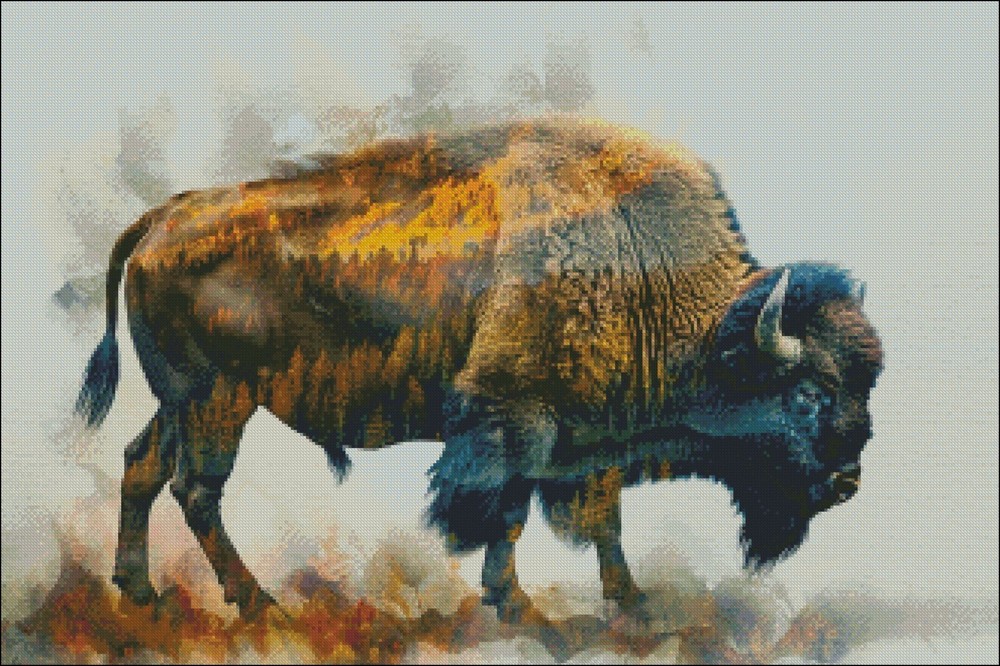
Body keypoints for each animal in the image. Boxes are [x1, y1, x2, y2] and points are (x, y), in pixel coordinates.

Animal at [76, 119, 883, 620]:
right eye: (808, 394)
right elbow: (508, 512)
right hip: (219, 402)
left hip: (183, 404)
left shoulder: (585, 437)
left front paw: (627, 599)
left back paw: (140, 592)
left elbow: (592, 518)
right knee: (196, 489)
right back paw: (257, 603)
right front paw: (517, 601)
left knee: (143, 466)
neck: (645, 268)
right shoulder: (514, 420)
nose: (848, 484)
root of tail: (160, 219)